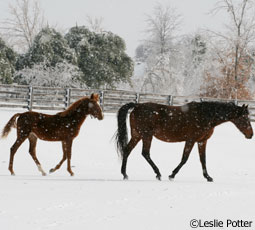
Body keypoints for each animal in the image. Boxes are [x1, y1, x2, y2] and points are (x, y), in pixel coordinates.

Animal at [115, 100, 253, 181]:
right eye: (244, 118)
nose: (251, 134)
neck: (205, 115)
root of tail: (137, 106)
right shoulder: (191, 140)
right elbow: (184, 158)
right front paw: (172, 175)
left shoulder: (202, 141)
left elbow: (203, 160)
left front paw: (208, 177)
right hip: (146, 136)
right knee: (145, 153)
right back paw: (158, 174)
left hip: (137, 135)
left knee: (127, 150)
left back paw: (125, 174)